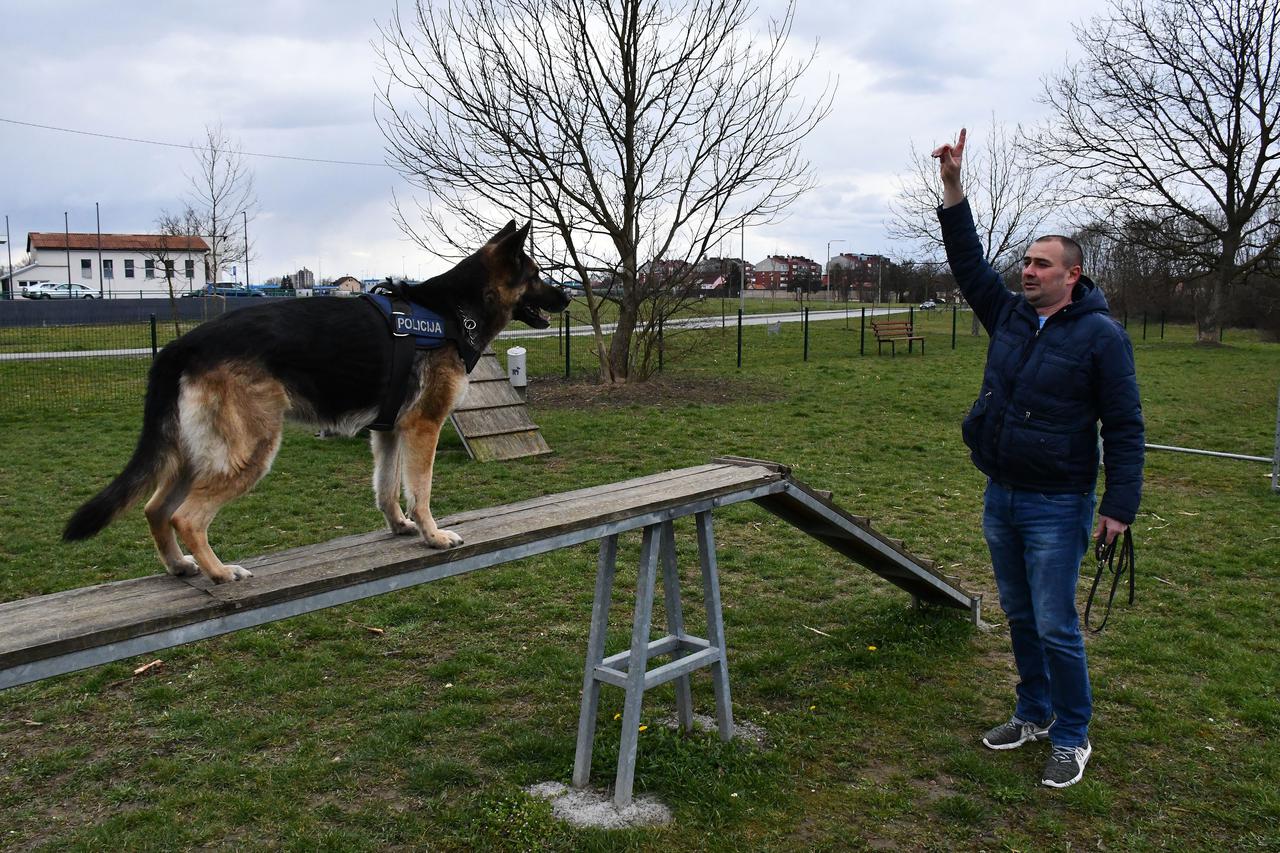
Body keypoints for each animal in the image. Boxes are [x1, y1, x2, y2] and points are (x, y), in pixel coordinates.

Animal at [62, 219, 568, 581]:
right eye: (537, 275)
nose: (566, 297)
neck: (452, 310)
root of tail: (182, 345)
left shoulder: (388, 432)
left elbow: (387, 489)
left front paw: (400, 527)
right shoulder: (423, 426)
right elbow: (420, 490)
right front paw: (432, 534)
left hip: (201, 453)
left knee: (155, 508)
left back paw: (180, 567)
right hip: (250, 451)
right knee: (186, 517)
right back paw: (219, 572)